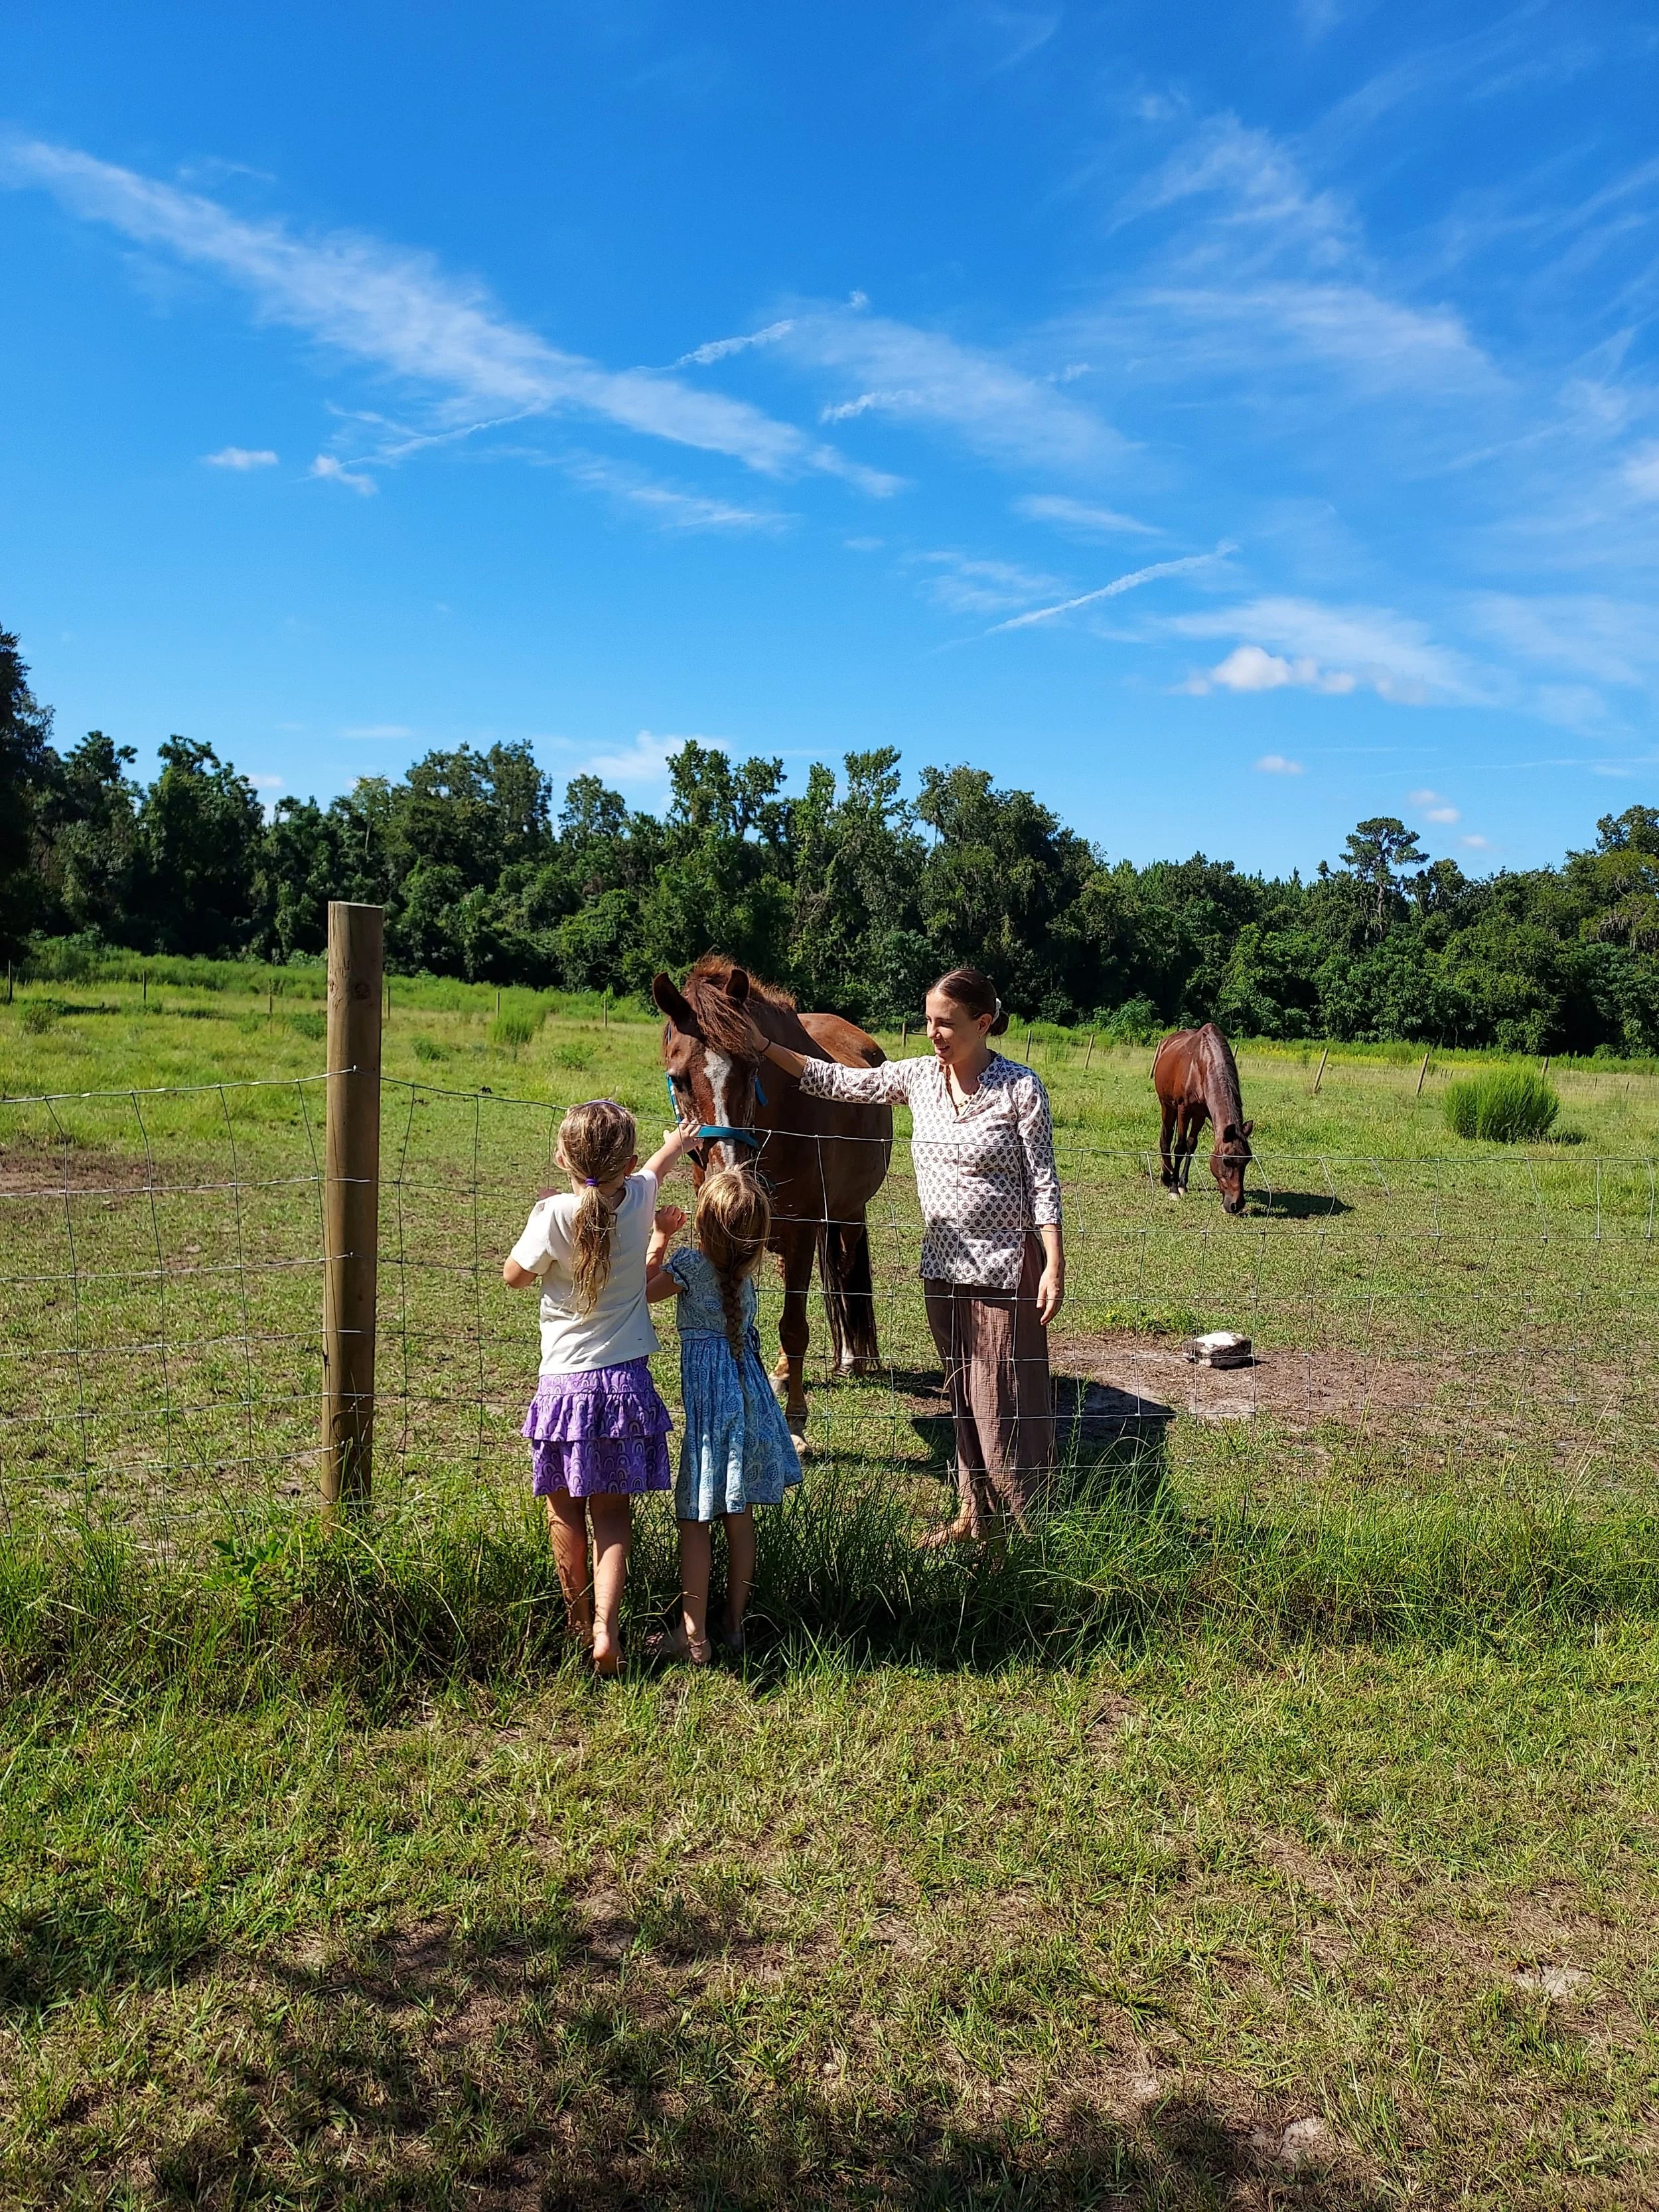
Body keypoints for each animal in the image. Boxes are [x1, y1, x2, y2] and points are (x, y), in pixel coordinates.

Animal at [651, 956, 893, 1444]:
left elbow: (795, 1327)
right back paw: (783, 1372)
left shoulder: (805, 1231)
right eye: (678, 1079)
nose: (728, 1172)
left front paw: (796, 1423)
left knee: (844, 1270)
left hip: (847, 1214)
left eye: (751, 1069)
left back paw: (850, 1359)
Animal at [1151, 1022, 1254, 1213]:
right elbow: (1180, 1147)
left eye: (1247, 1161)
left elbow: (1191, 1145)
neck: (1201, 1064)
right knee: (1166, 1138)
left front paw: (1183, 1185)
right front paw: (1174, 1190)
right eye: (1226, 1160)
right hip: (1167, 1105)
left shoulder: (1200, 1114)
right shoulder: (1183, 1110)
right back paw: (1166, 1177)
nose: (1236, 1205)